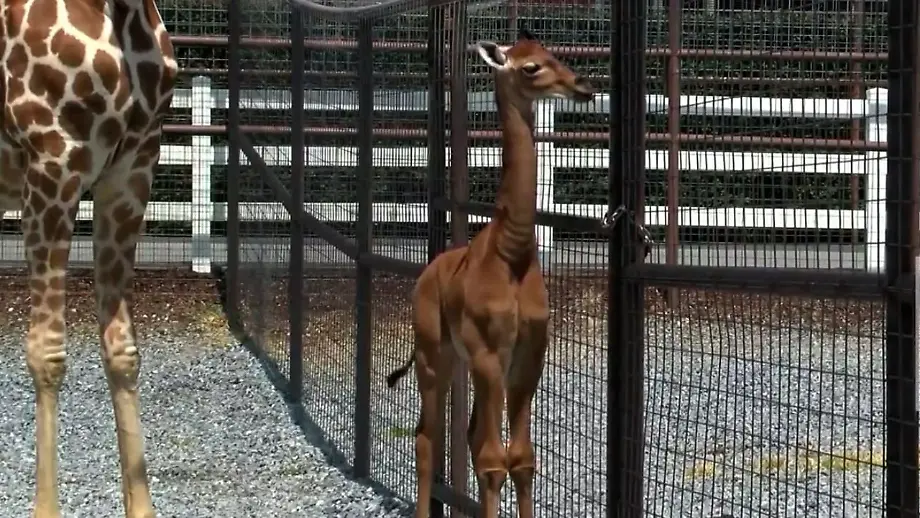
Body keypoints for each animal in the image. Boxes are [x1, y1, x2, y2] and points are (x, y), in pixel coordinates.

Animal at [386, 29, 597, 518]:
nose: (583, 86)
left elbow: (521, 459)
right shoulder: (488, 351)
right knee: (428, 437)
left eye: (553, 54)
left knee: (462, 435)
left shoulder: (529, 352)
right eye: (530, 67)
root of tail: (426, 275)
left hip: (466, 363)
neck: (512, 255)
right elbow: (492, 460)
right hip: (435, 355)